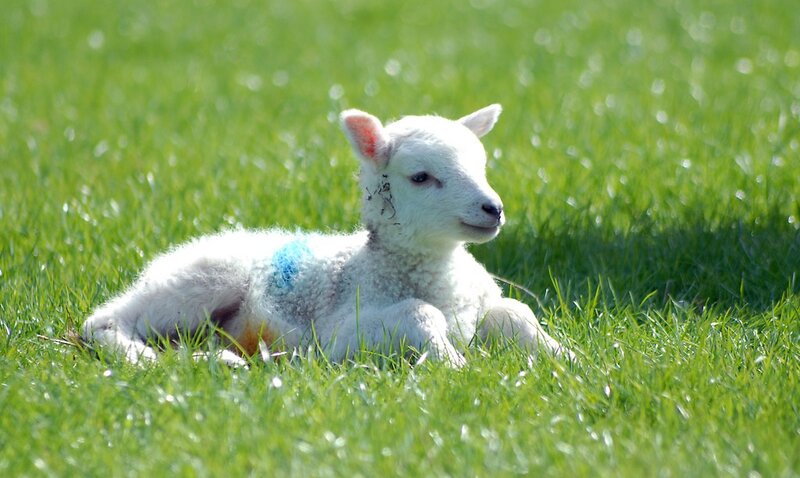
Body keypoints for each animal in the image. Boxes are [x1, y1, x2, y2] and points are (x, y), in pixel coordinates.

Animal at [81, 104, 574, 367]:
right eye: (420, 177)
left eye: (482, 166)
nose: (494, 209)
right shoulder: (338, 339)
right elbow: (419, 312)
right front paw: (453, 362)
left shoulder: (481, 304)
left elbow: (516, 312)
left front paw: (565, 356)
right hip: (201, 280)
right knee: (105, 322)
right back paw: (151, 360)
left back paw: (217, 360)